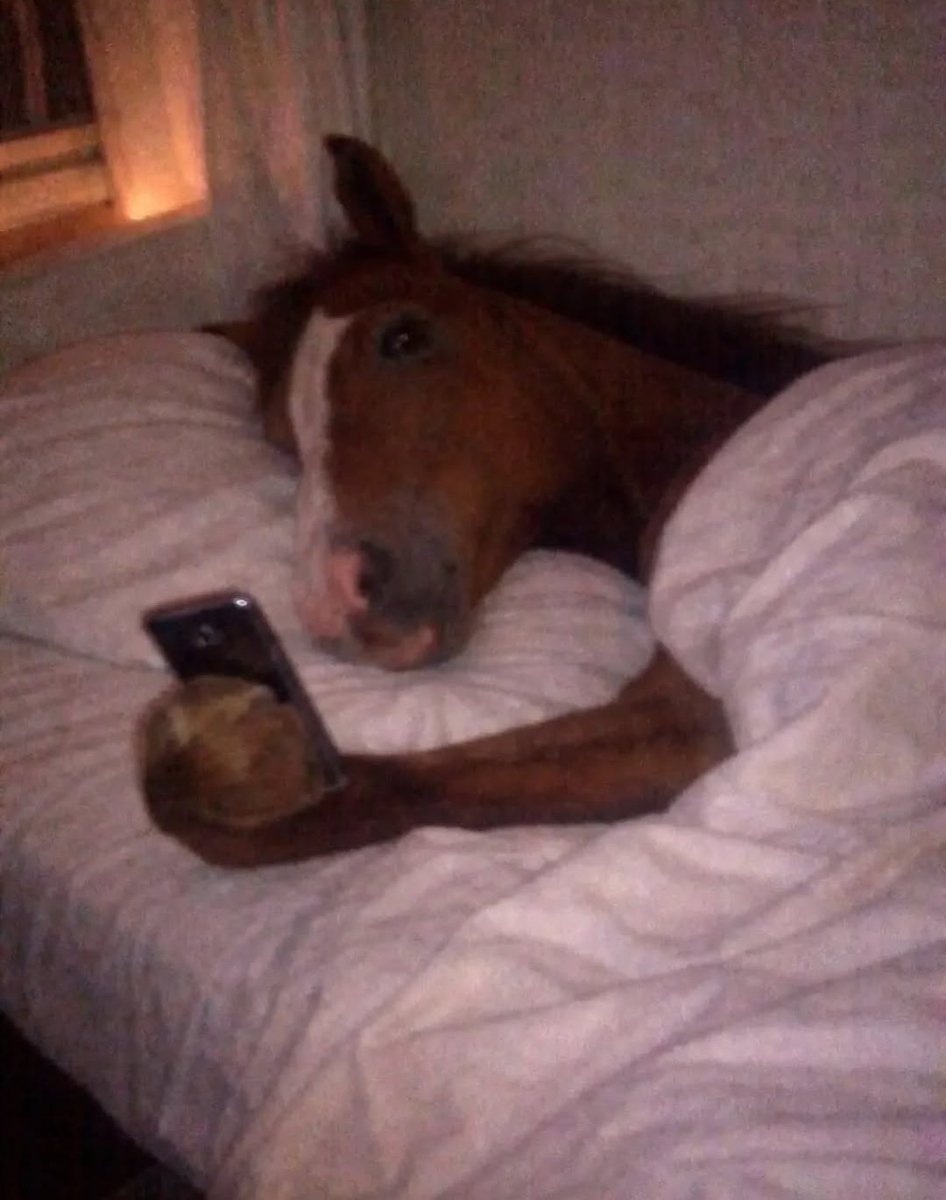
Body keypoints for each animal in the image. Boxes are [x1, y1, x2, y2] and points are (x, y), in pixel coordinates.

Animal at [140, 135, 828, 866]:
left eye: (403, 337)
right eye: (282, 436)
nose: (333, 603)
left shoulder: (701, 713)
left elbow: (398, 790)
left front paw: (237, 761)